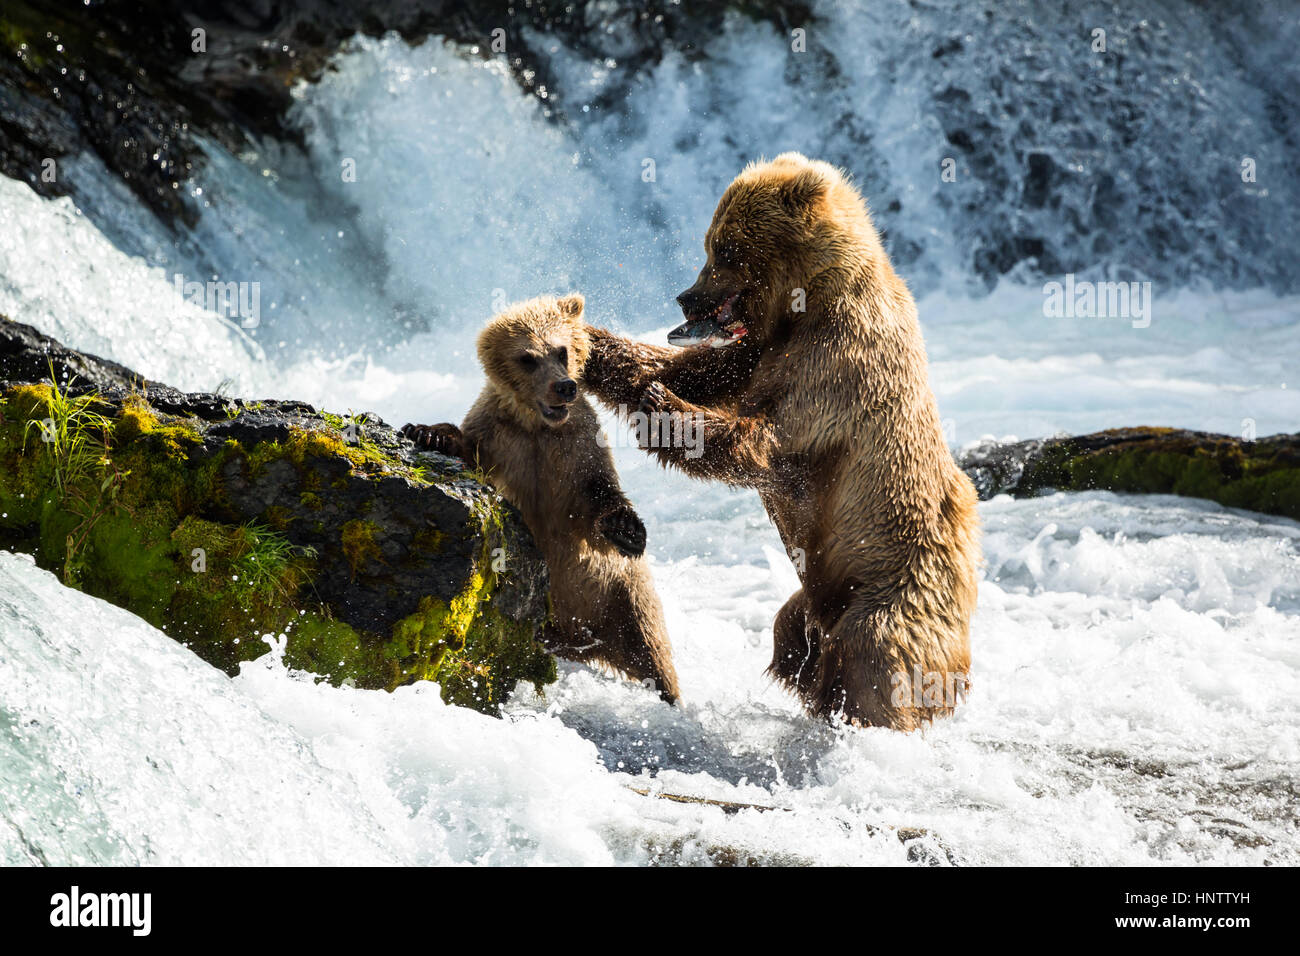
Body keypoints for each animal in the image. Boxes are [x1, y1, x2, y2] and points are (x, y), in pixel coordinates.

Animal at [585, 153, 977, 728]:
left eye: (725, 249)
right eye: (710, 242)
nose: (685, 297)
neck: (804, 306)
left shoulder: (836, 368)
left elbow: (760, 443)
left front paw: (660, 407)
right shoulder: (758, 355)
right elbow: (692, 368)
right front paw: (591, 345)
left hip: (893, 590)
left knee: (872, 660)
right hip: (817, 598)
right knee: (790, 633)